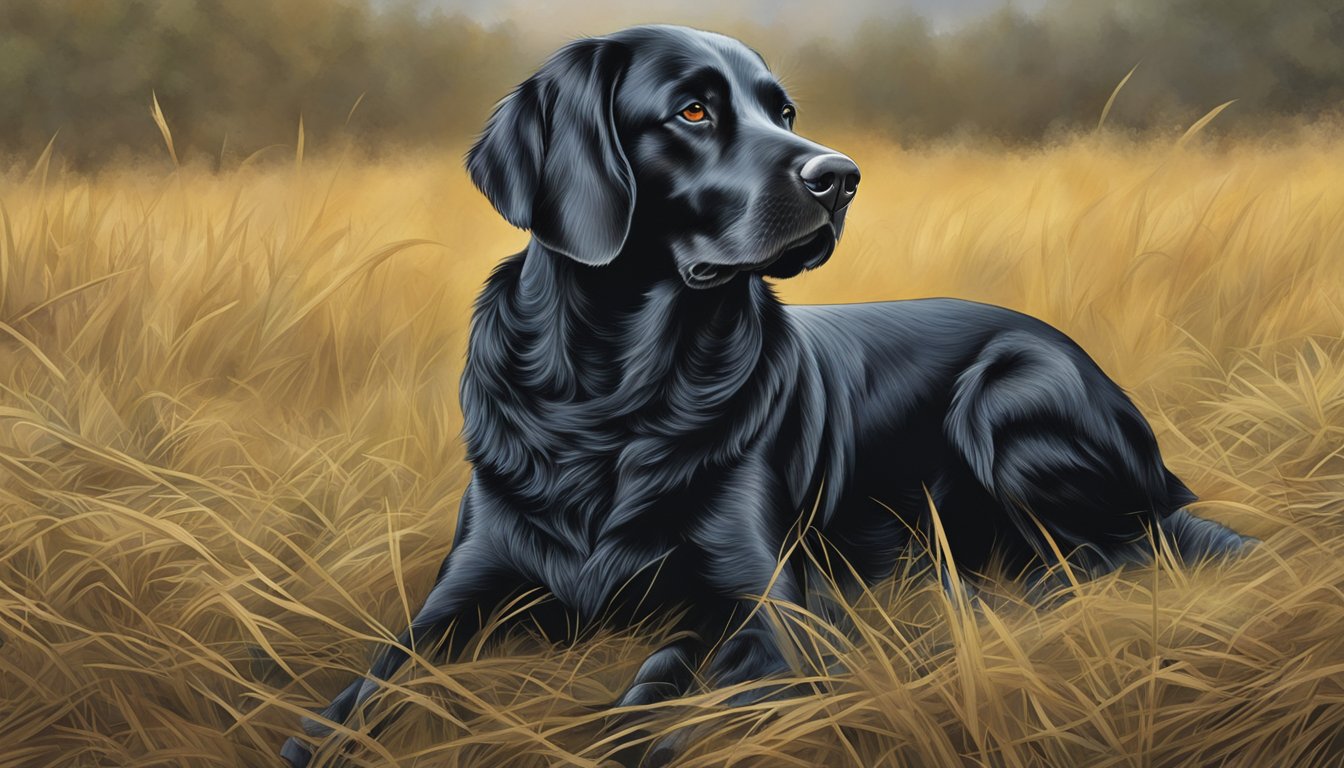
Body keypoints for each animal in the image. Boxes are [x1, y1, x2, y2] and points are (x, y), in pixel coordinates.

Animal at [278, 24, 1252, 768]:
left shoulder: (768, 605)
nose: (842, 176)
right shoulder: (463, 596)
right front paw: (320, 734)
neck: (613, 397)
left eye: (784, 112)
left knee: (1111, 556)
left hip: (1007, 397)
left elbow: (675, 688)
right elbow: (375, 681)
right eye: (693, 110)